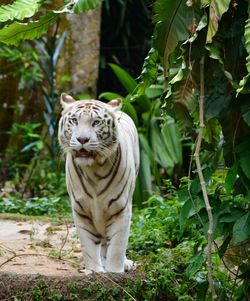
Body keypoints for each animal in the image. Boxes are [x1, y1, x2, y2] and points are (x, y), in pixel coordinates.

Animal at [58, 92, 141, 274]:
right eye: (74, 120)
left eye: (95, 122)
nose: (82, 139)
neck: (93, 169)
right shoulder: (81, 209)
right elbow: (88, 246)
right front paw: (95, 272)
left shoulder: (121, 208)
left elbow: (117, 247)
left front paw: (115, 272)